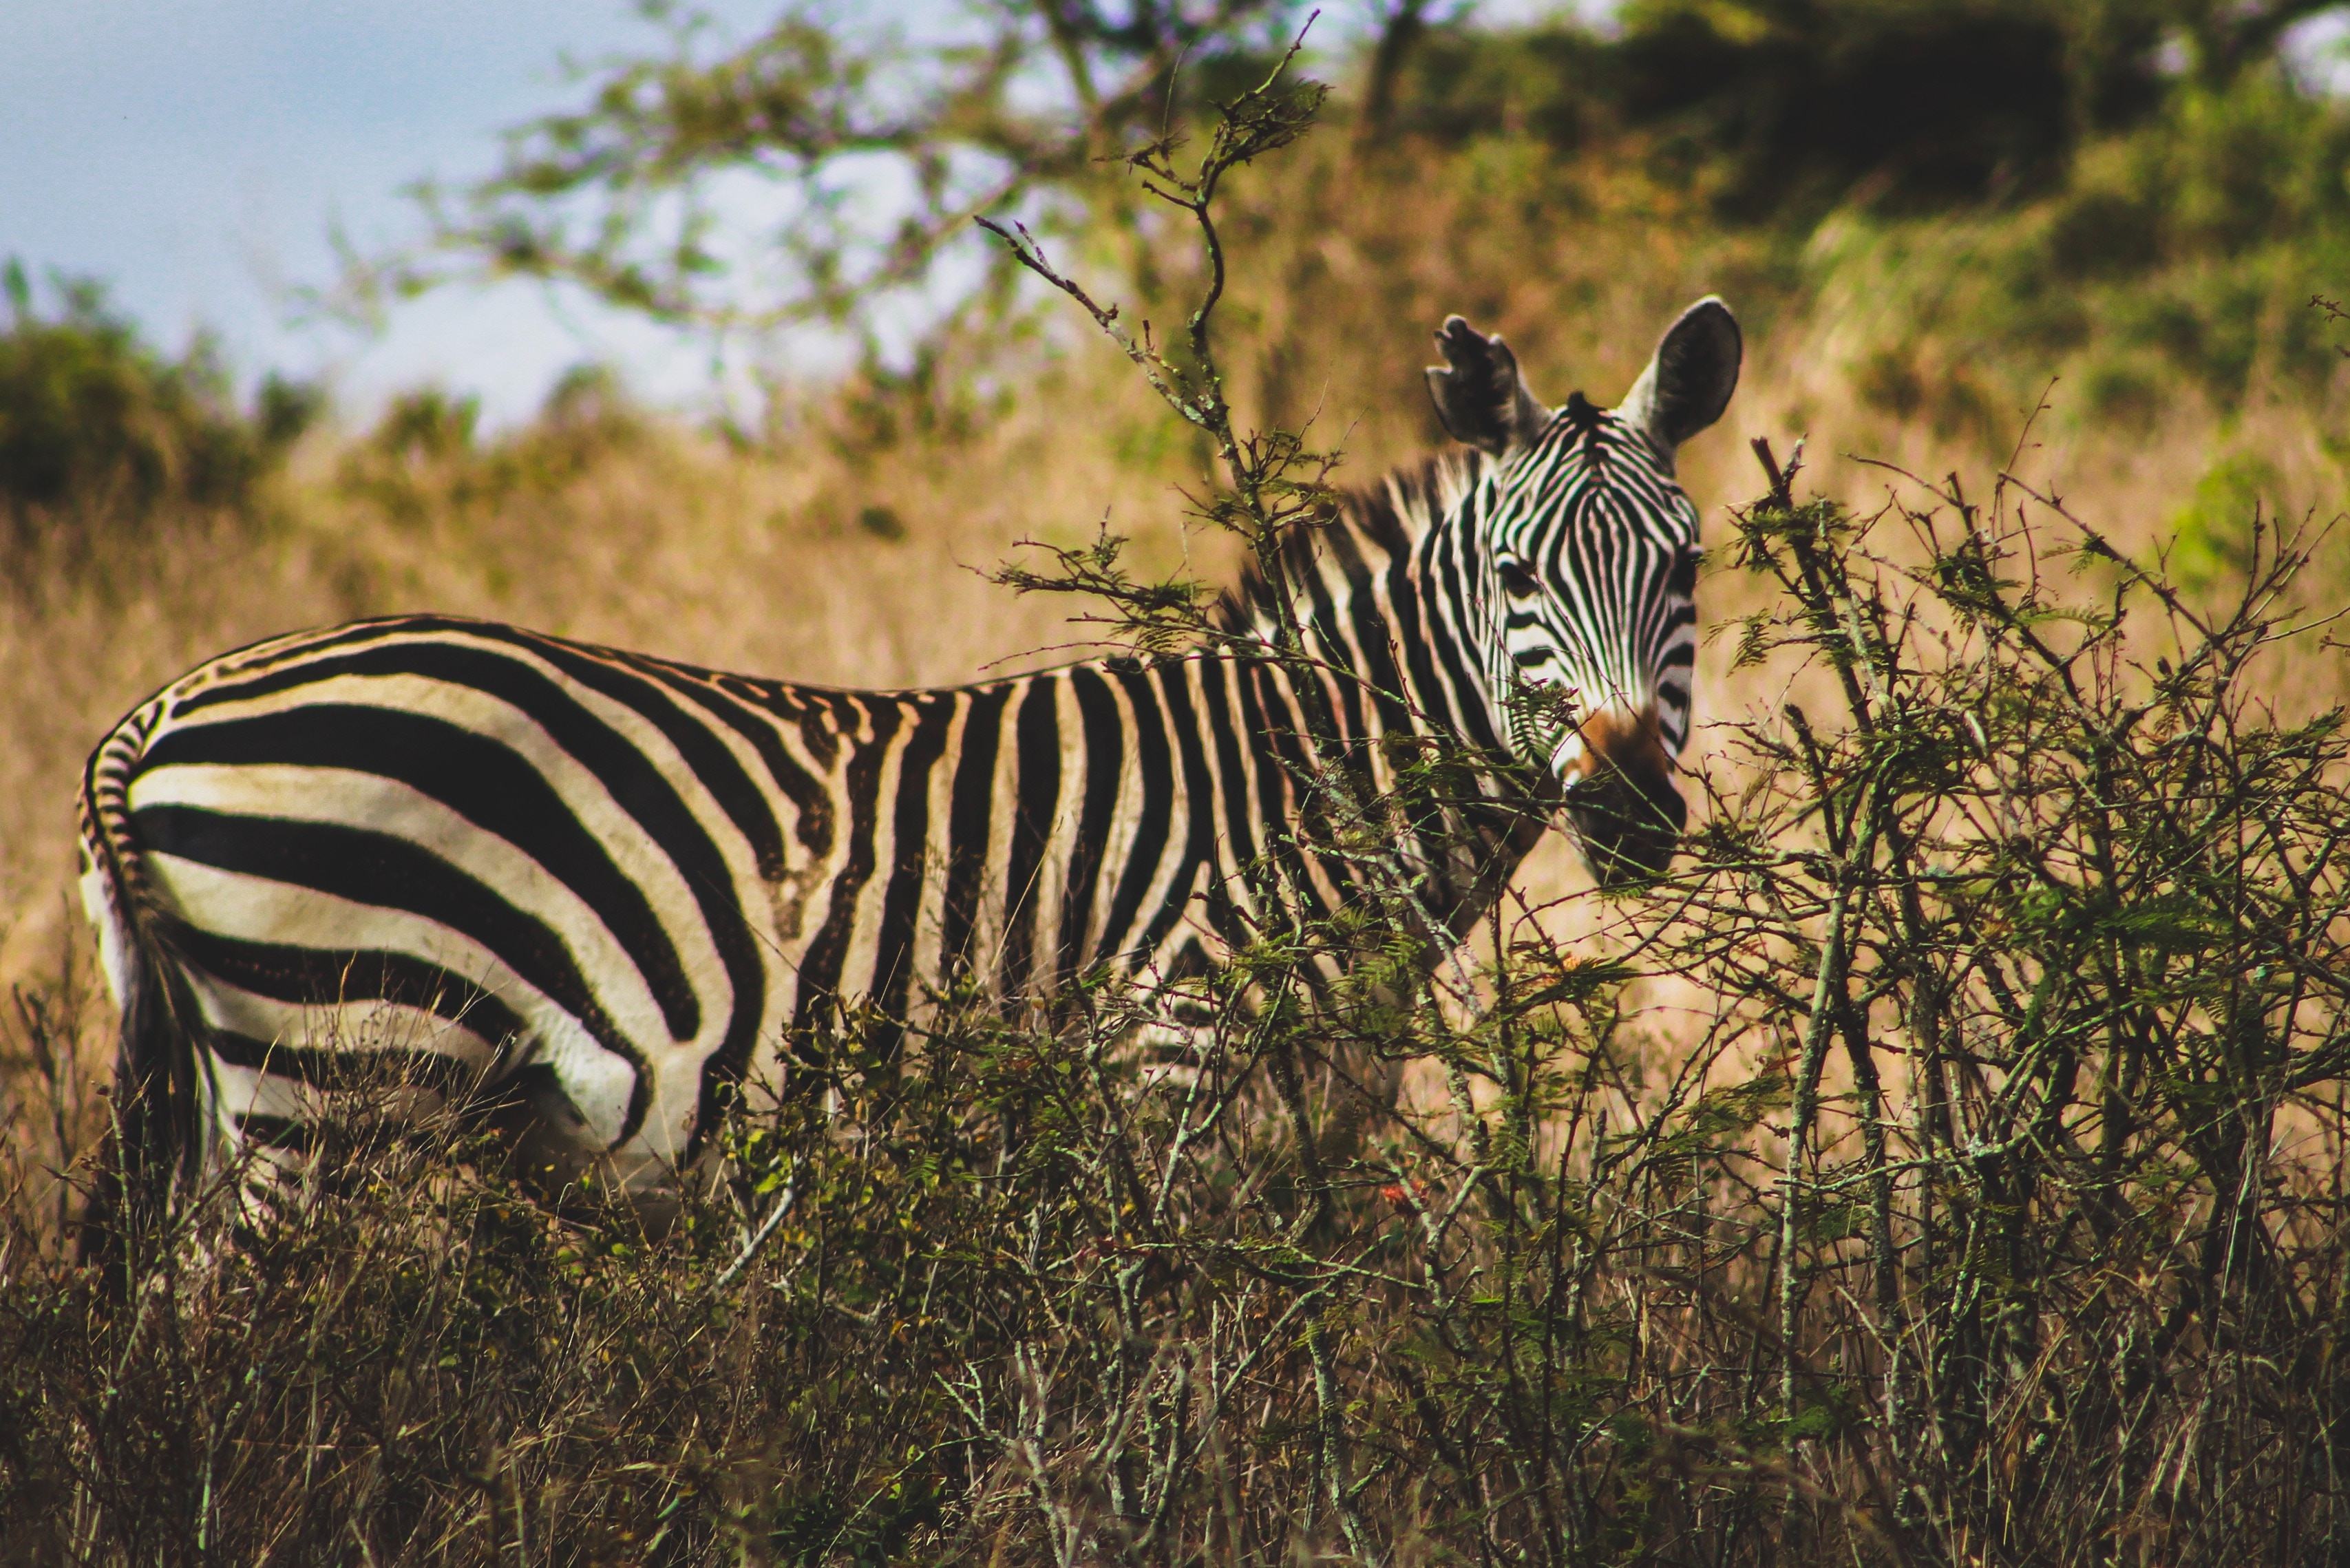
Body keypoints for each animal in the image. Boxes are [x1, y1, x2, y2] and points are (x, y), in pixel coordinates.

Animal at [77, 298, 1740, 1228]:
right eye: (1514, 577)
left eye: (1688, 568)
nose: (1629, 813)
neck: (1306, 790)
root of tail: (158, 708)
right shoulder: (1169, 1085)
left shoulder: (1301, 1133)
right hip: (336, 1076)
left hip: (234, 1087)